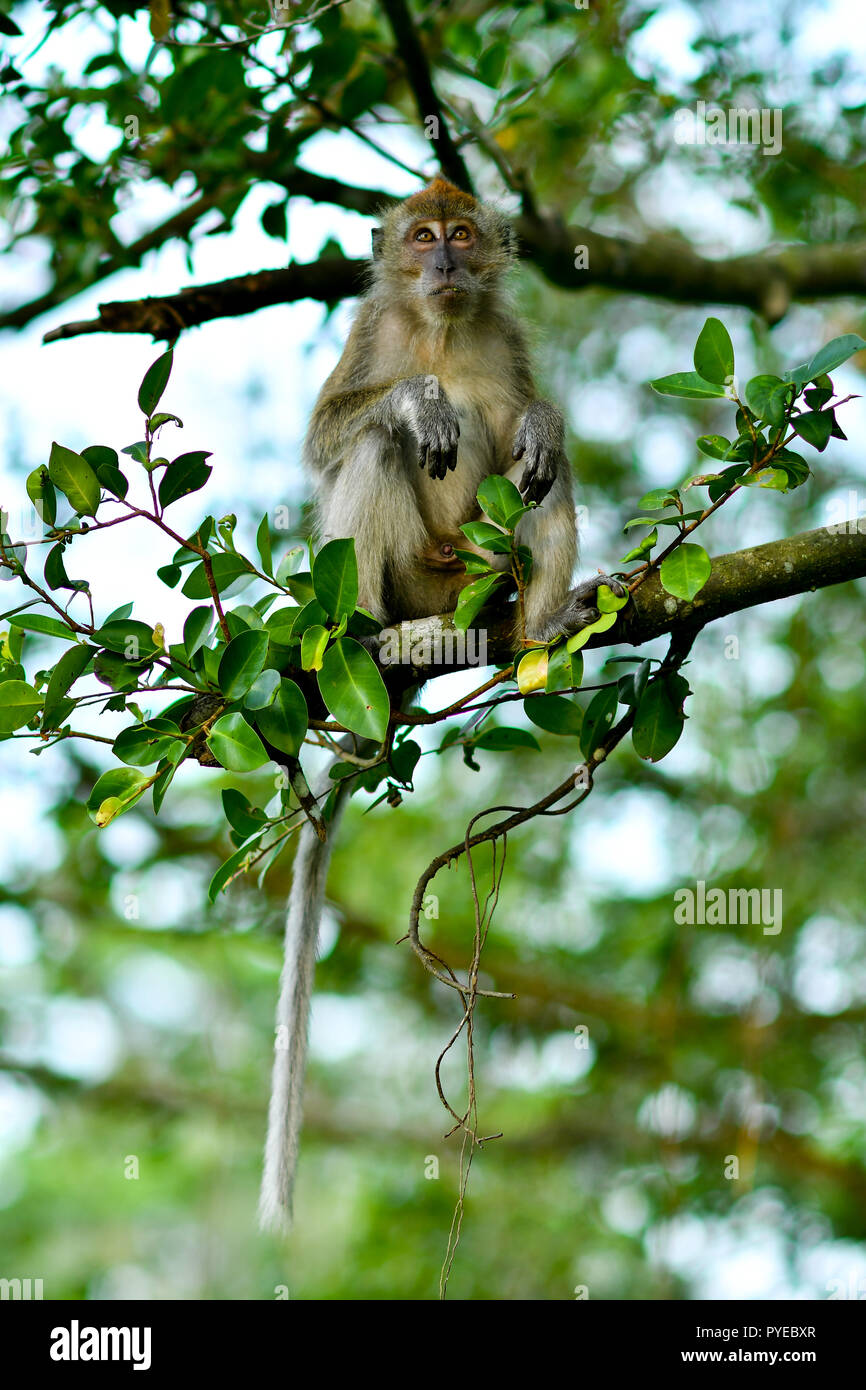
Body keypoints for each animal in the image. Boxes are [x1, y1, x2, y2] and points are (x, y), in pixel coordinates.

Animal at [259, 177, 622, 1232]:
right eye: (420, 238)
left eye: (462, 234)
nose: (447, 262)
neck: (442, 324)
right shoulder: (373, 328)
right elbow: (336, 431)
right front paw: (421, 398)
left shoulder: (504, 328)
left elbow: (533, 423)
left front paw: (541, 420)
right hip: (404, 575)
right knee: (377, 448)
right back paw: (381, 636)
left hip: (481, 569)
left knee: (541, 482)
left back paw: (541, 623)